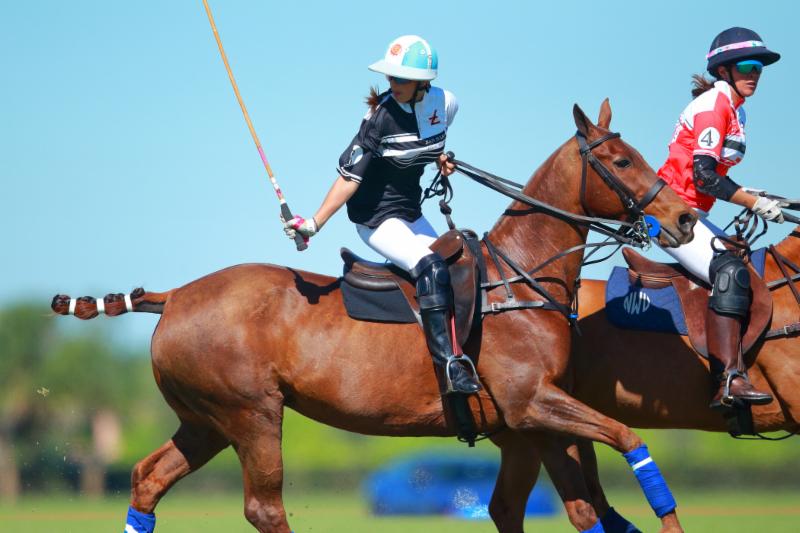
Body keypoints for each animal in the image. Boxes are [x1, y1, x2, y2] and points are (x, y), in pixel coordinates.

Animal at [51, 100, 696, 533]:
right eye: (621, 160)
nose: (685, 219)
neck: (520, 280)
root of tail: (178, 293)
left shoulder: (527, 426)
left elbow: (565, 506)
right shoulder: (530, 402)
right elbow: (628, 437)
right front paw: (667, 518)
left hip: (205, 420)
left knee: (147, 479)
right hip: (252, 413)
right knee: (263, 506)